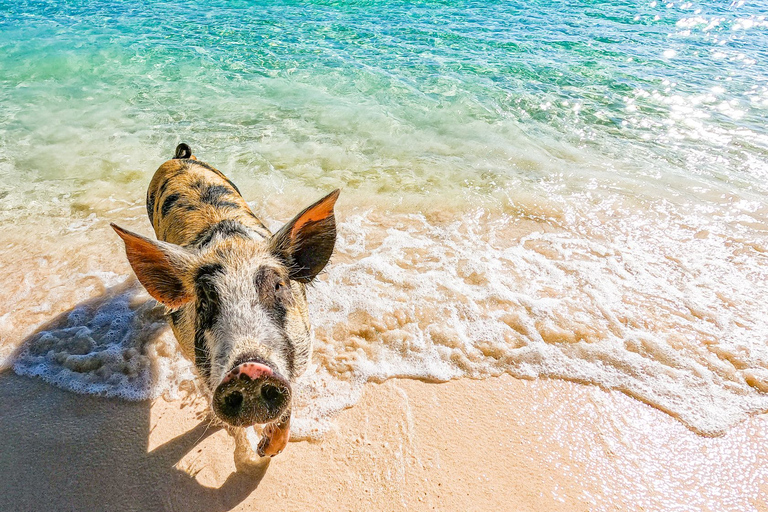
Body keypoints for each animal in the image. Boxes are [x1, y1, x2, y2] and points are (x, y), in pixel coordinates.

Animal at [111, 143, 339, 458]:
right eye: (206, 299)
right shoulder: (200, 364)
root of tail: (180, 157)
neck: (231, 243)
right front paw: (253, 450)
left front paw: (264, 452)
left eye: (277, 285)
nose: (250, 368)